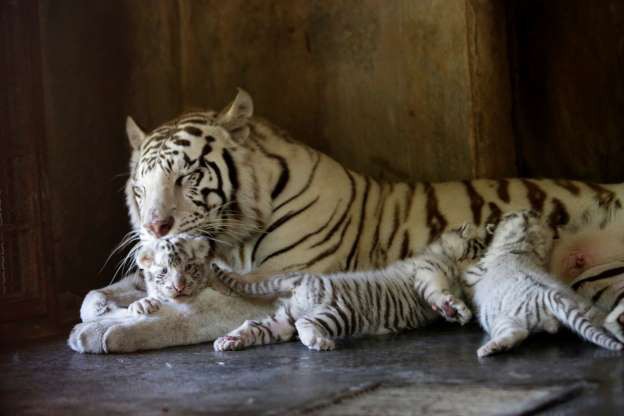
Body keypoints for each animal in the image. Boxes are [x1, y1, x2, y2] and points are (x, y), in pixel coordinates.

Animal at [69, 89, 624, 352]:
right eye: (140, 189)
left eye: (185, 177)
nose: (155, 228)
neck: (235, 241)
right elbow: (115, 289)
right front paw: (104, 305)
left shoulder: (281, 281)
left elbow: (193, 312)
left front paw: (104, 330)